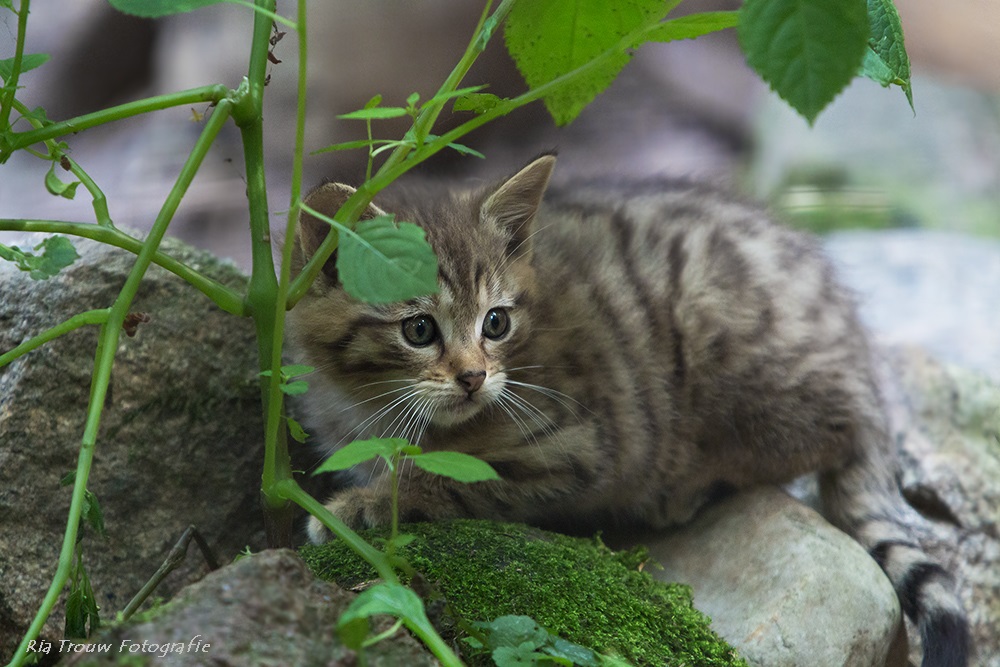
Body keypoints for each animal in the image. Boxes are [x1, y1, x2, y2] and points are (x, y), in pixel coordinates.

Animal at [288, 154, 968, 664]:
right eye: (420, 329)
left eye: (496, 322)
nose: (474, 377)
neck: (377, 408)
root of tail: (857, 354)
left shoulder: (574, 446)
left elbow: (452, 479)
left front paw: (362, 505)